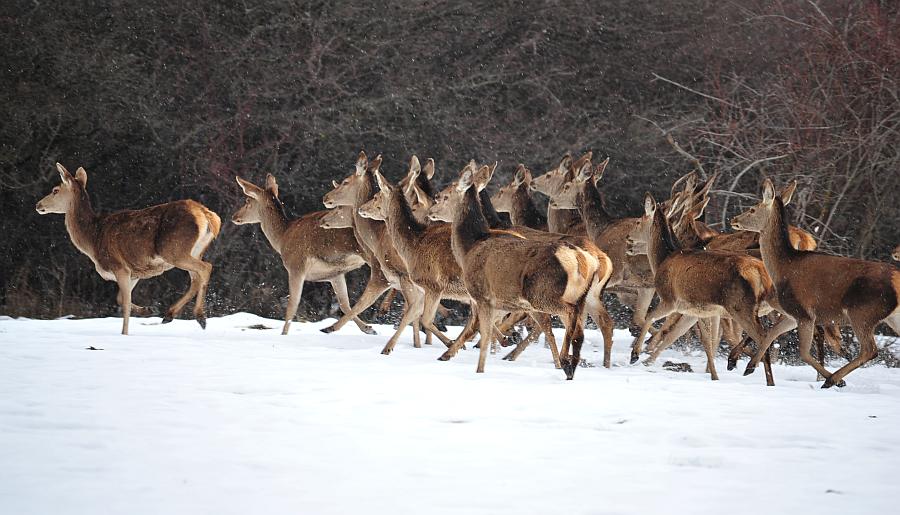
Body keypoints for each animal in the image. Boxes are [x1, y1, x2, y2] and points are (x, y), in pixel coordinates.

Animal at [35, 163, 220, 336]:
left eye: (55, 190)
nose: (38, 205)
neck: (93, 239)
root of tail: (209, 216)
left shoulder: (119, 266)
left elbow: (124, 305)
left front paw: (124, 333)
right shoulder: (134, 271)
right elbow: (119, 299)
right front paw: (147, 309)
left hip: (174, 251)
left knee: (206, 267)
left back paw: (200, 316)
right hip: (194, 250)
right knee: (196, 278)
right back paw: (170, 315)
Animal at [232, 173, 376, 336]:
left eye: (247, 201)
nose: (234, 216)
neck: (282, 238)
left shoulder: (296, 265)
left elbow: (292, 304)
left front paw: (283, 334)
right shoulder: (335, 274)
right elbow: (344, 304)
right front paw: (368, 328)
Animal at [732, 180, 900, 388]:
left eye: (753, 209)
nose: (734, 219)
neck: (783, 268)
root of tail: (896, 280)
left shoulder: (804, 312)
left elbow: (803, 353)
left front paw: (836, 380)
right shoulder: (792, 313)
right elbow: (771, 333)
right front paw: (749, 366)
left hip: (862, 312)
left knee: (869, 350)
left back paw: (832, 379)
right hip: (892, 316)